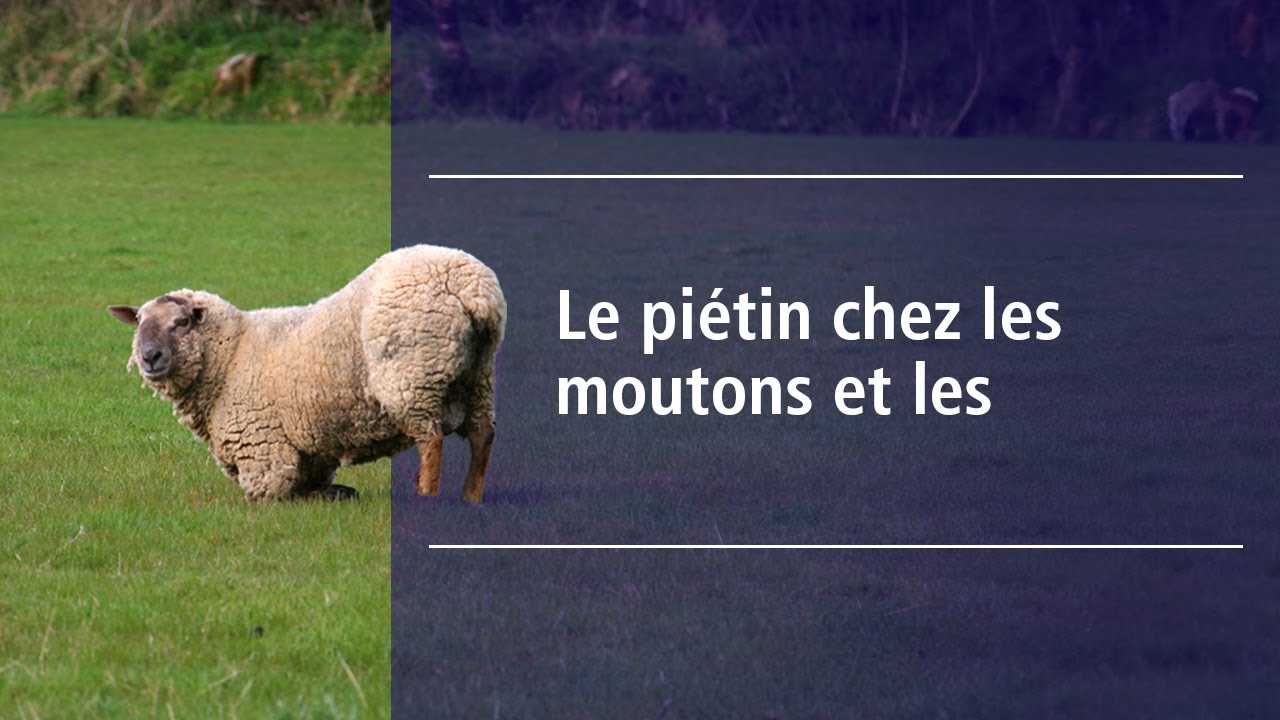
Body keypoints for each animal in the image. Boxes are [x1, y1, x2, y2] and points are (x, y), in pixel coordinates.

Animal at [107, 245, 506, 503]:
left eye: (182, 322)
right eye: (139, 322)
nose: (149, 356)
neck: (231, 355)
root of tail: (471, 287)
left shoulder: (263, 449)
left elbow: (271, 495)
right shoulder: (309, 452)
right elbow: (310, 485)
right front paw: (335, 494)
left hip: (412, 375)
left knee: (431, 439)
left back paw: (427, 497)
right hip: (479, 375)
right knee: (482, 434)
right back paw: (470, 497)